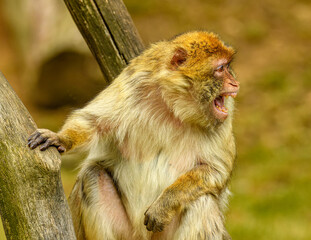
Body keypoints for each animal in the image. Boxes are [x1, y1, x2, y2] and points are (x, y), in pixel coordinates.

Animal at [27, 31, 241, 240]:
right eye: (221, 68)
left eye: (228, 67)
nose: (235, 83)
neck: (175, 107)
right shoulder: (134, 83)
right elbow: (92, 122)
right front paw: (60, 138)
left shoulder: (222, 121)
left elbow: (215, 170)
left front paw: (165, 203)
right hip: (126, 232)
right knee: (92, 174)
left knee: (201, 200)